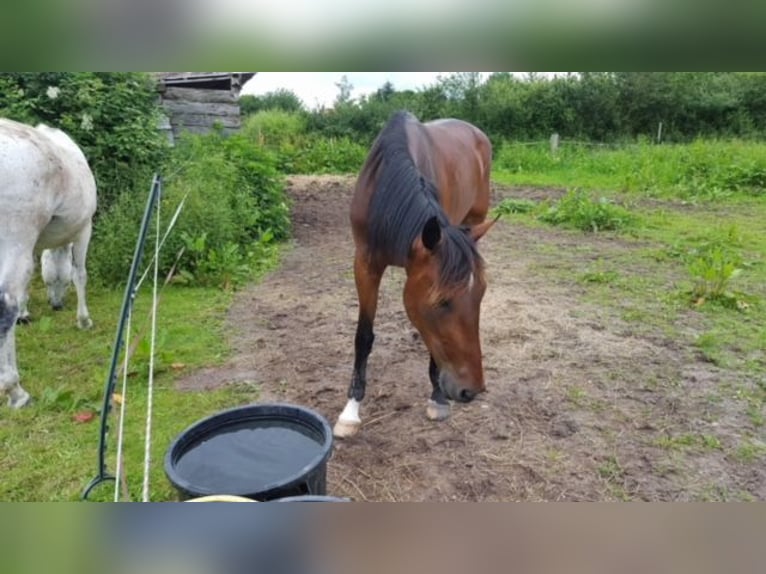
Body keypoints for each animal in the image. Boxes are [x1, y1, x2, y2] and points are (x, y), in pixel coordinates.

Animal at [0, 119, 97, 410]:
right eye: (56, 281)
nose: (56, 305)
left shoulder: (31, 245)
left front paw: (25, 313)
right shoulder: (84, 230)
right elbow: (80, 274)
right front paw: (83, 320)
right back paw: (15, 391)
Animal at [336, 110, 498, 438]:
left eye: (481, 295)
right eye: (442, 302)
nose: (471, 391)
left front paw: (437, 397)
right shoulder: (365, 264)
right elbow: (363, 336)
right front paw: (350, 411)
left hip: (475, 220)